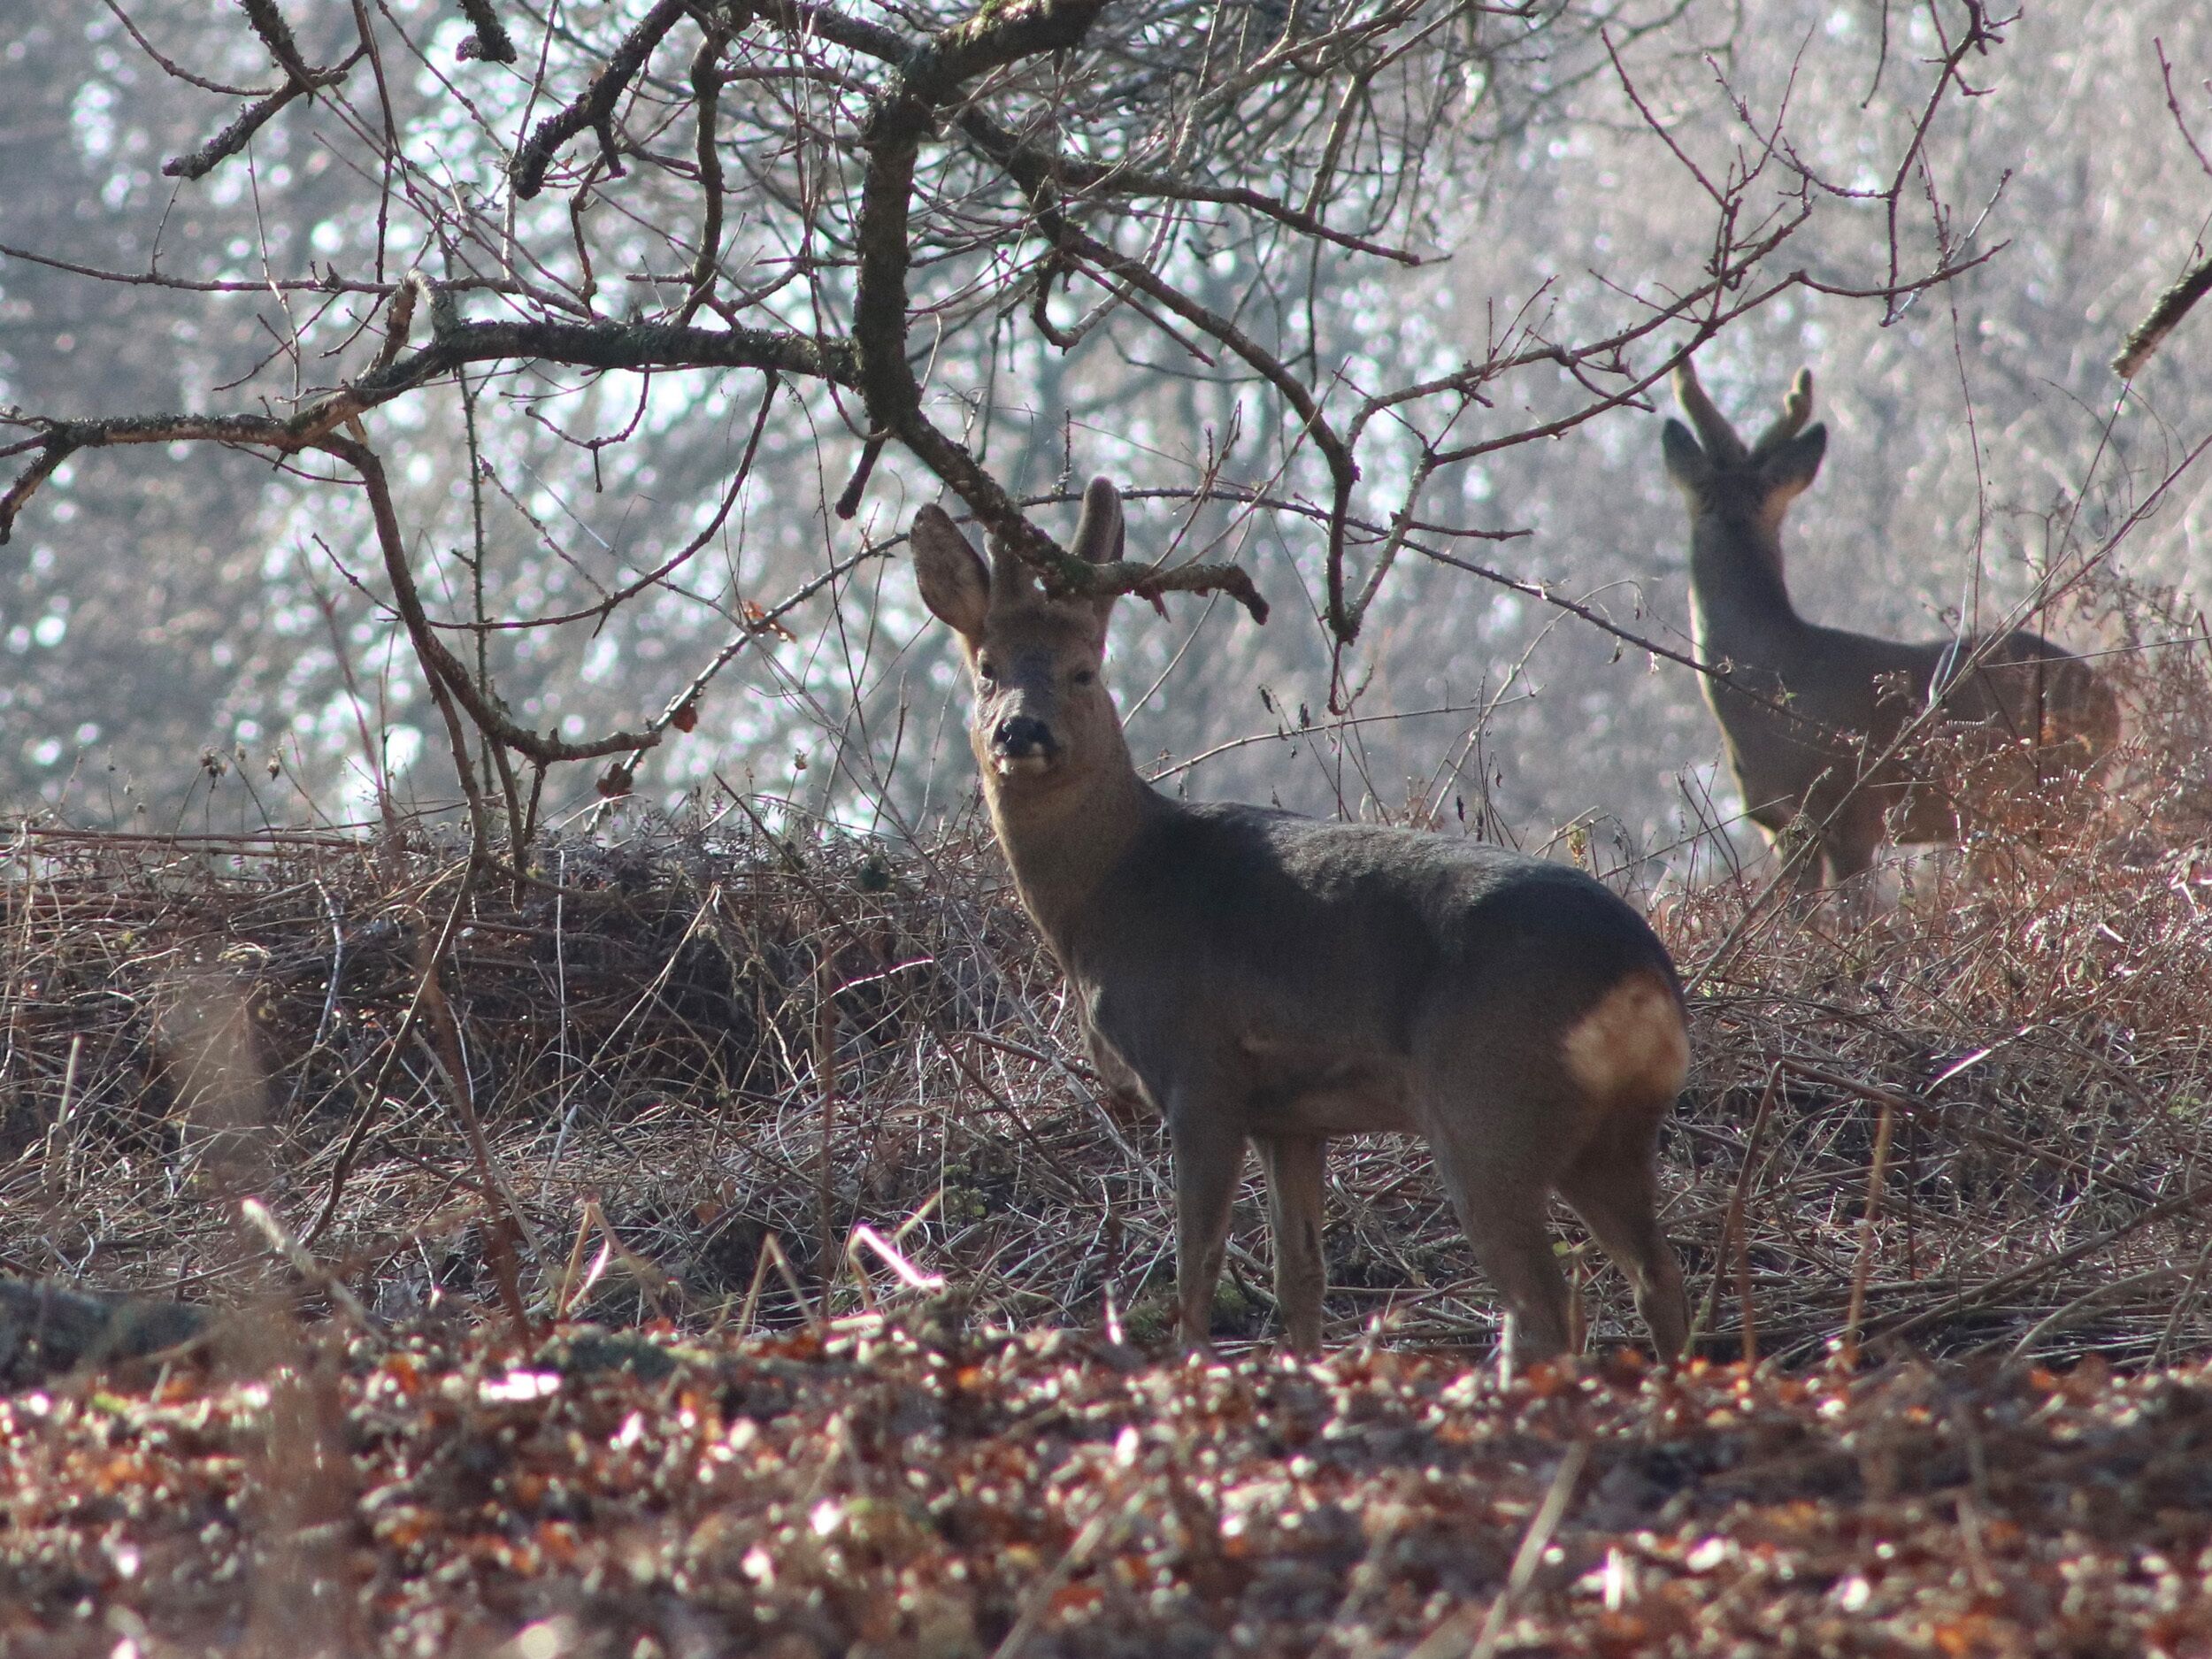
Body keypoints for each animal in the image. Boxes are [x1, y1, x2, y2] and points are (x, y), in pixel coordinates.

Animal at [912, 479, 1691, 1365]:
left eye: (1085, 670)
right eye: (986, 671)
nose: (1020, 730)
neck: (1115, 890)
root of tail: (1641, 977)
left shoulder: (1200, 1068)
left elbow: (1197, 1268)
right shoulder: (1291, 1115)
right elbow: (1300, 1275)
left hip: (1488, 1103)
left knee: (1545, 1303)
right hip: (1612, 1132)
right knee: (1657, 1276)